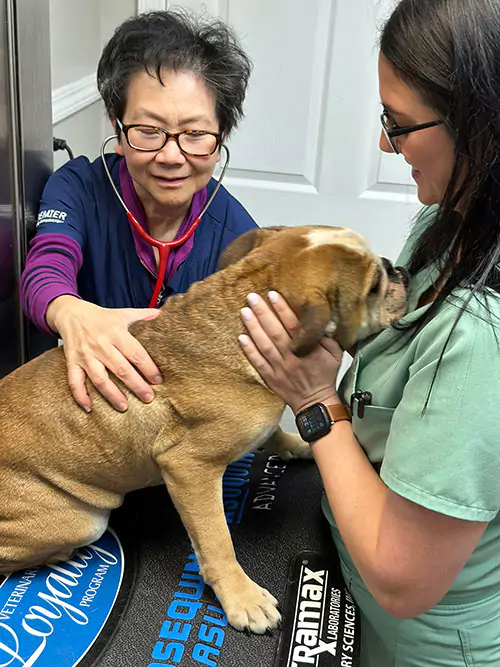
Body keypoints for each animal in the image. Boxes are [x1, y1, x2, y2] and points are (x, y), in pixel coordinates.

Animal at [0, 227, 406, 636]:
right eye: (373, 286)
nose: (397, 268)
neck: (240, 314)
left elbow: (274, 431)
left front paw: (295, 443)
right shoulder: (190, 468)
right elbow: (217, 541)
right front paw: (243, 599)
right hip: (83, 522)